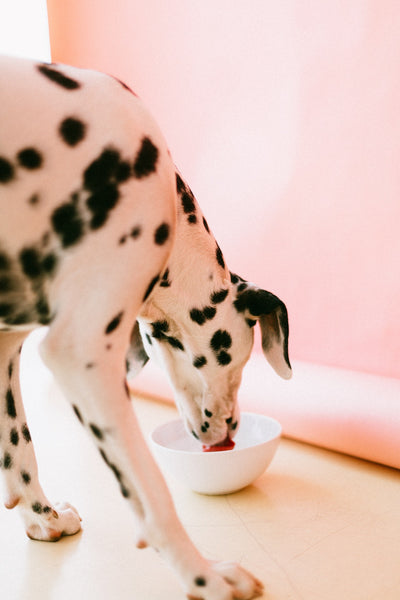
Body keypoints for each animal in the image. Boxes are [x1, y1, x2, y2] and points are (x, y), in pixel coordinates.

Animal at [0, 55, 290, 596]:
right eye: (239, 363)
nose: (232, 430)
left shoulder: (6, 346)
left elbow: (18, 446)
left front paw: (41, 518)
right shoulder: (82, 354)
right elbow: (152, 496)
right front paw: (206, 576)